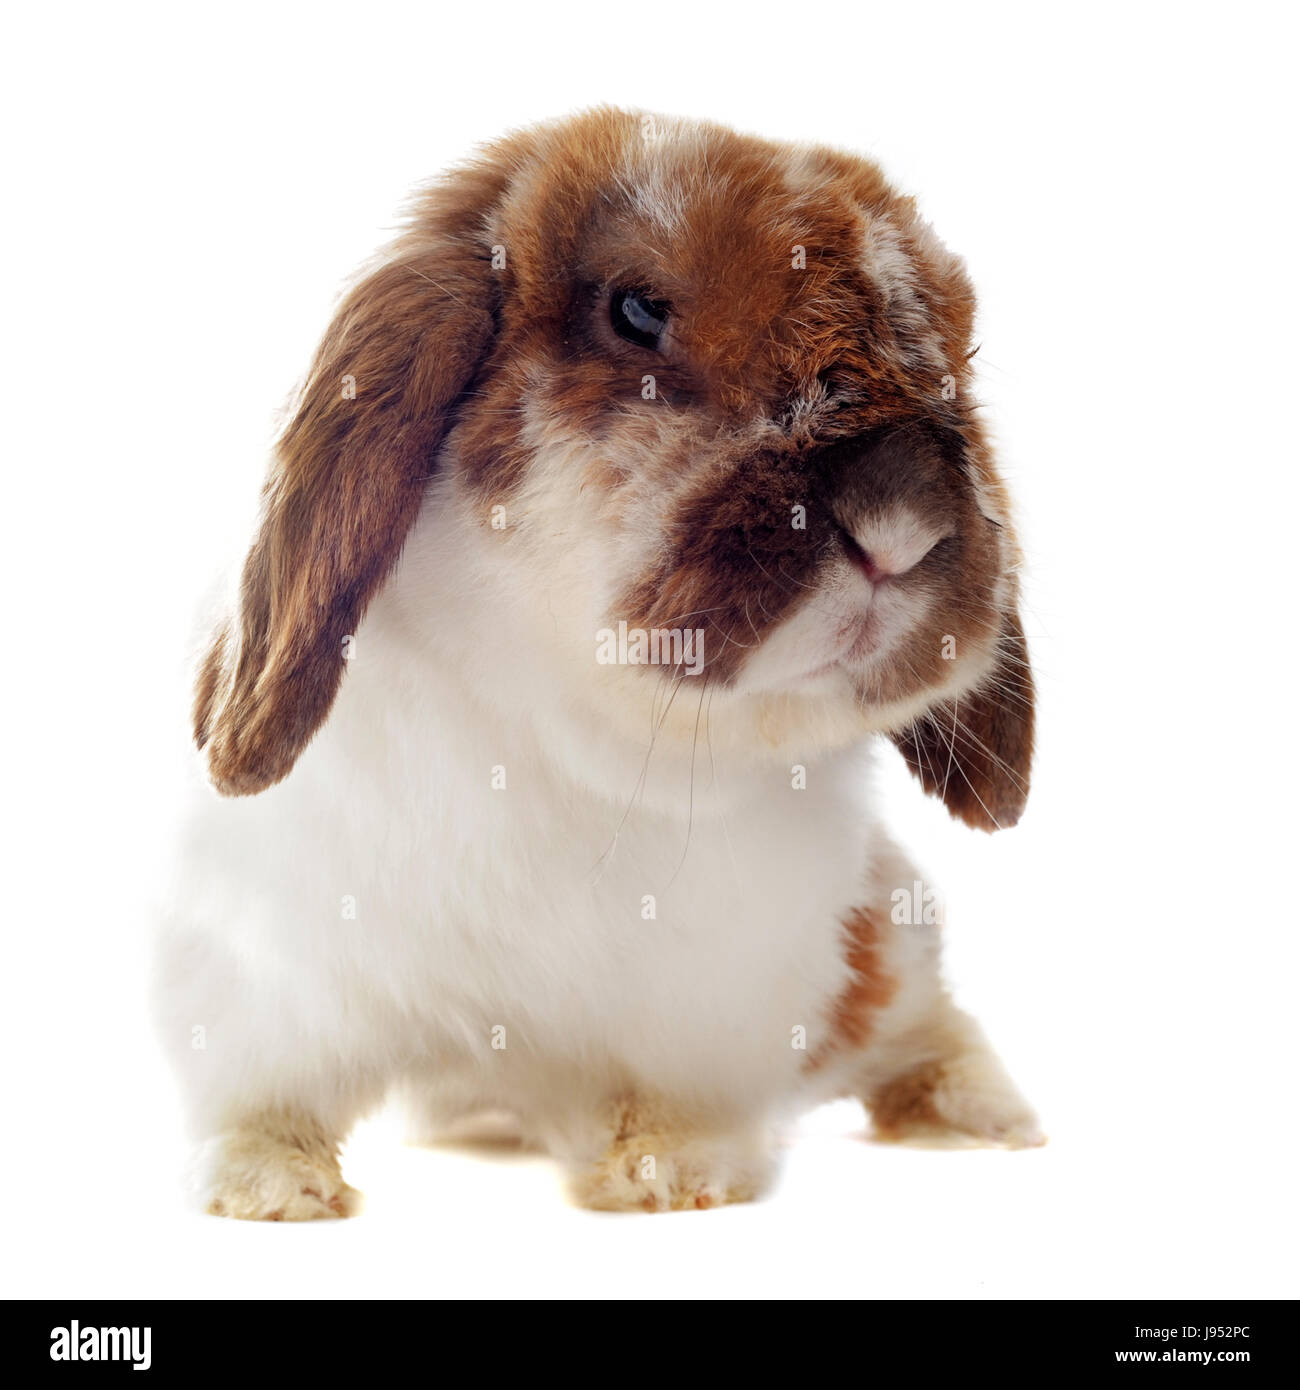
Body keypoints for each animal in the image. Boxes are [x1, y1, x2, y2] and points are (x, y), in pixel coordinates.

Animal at [155, 108, 1042, 1219]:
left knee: (924, 1025)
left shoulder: (713, 1004)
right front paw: (268, 1187)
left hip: (885, 937)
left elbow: (671, 1097)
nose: (902, 520)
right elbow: (267, 1098)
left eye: (955, 357)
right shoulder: (266, 979)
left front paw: (669, 1170)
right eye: (637, 310)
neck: (577, 731)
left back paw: (986, 1118)